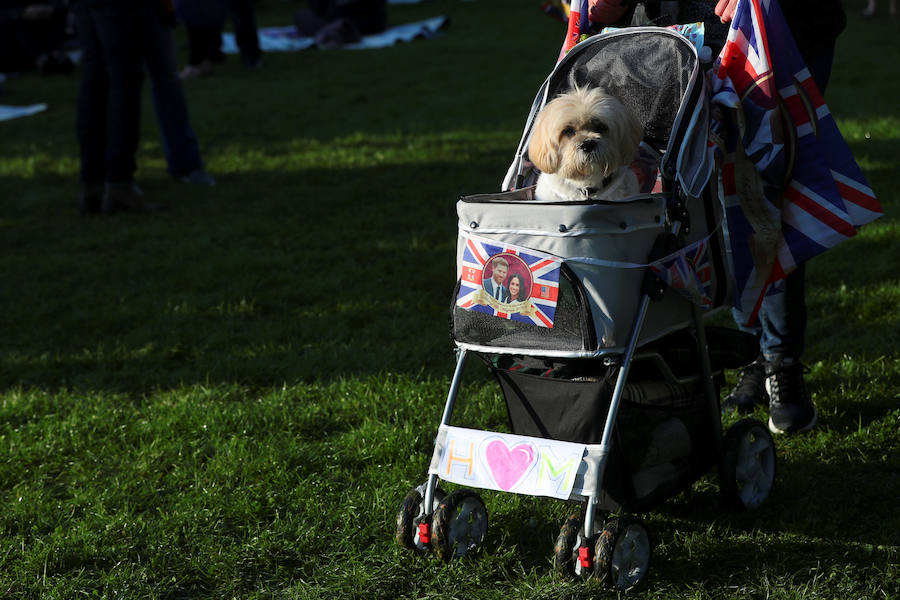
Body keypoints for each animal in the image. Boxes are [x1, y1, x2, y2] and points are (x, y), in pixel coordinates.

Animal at [398, 27, 776, 592]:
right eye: (569, 129)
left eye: (599, 126)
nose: (590, 144)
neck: (584, 191)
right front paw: (436, 520)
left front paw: (607, 551)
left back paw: (745, 464)